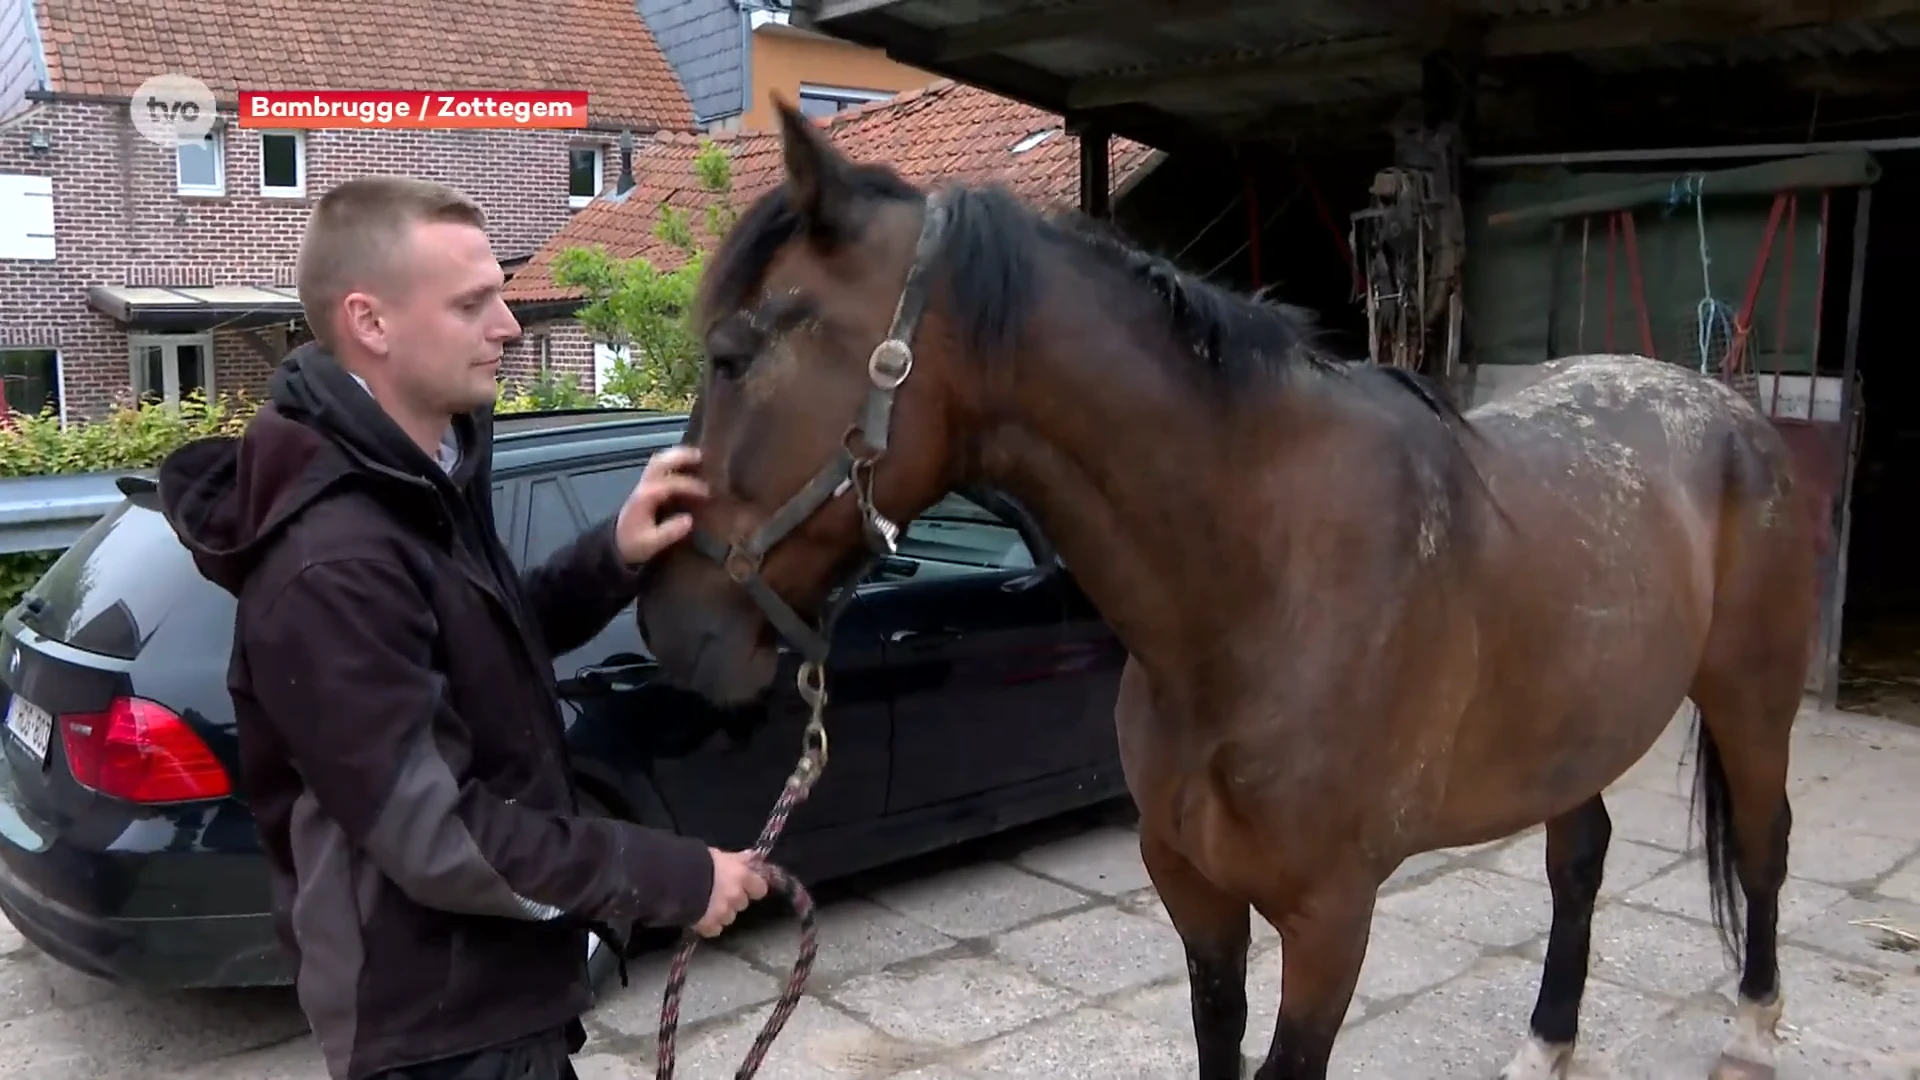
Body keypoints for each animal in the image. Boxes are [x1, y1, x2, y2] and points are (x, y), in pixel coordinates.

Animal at [637, 96, 1820, 1068]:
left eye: (735, 355)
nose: (667, 625)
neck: (1263, 590)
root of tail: (1726, 406)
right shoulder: (1194, 894)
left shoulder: (1331, 921)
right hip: (1578, 728)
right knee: (1580, 861)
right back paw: (1547, 1044)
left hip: (1752, 698)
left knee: (1765, 843)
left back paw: (1754, 1028)